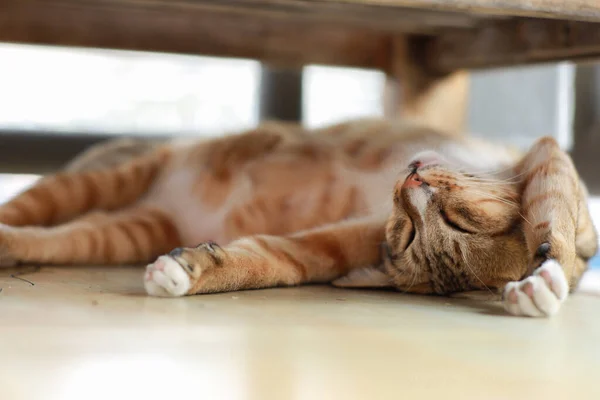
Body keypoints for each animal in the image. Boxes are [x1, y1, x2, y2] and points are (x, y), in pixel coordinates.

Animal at [1, 117, 596, 318]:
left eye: (409, 233)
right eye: (462, 219)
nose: (410, 184)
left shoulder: (340, 241)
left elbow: (275, 260)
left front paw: (186, 273)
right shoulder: (547, 156)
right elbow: (557, 226)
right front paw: (545, 279)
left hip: (128, 229)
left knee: (56, 237)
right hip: (115, 175)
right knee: (26, 206)